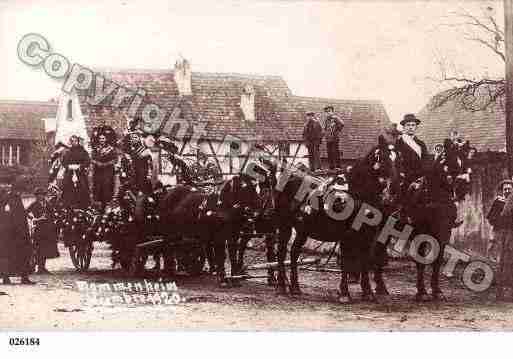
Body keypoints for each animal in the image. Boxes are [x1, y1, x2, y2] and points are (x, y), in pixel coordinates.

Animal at [272, 131, 404, 302]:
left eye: (399, 160)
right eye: (383, 158)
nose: (394, 190)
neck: (356, 192)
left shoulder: (367, 234)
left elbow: (365, 259)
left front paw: (367, 292)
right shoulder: (346, 235)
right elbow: (346, 262)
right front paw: (345, 293)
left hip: (303, 229)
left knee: (294, 252)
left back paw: (295, 287)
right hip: (285, 225)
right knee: (282, 252)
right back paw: (282, 285)